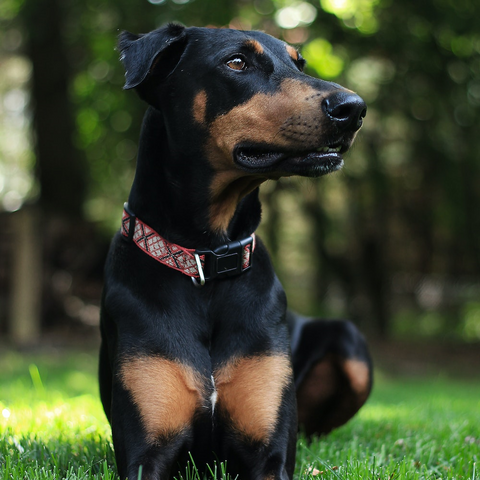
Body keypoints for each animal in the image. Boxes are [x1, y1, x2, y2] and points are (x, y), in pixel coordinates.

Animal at [99, 24, 374, 480]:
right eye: (237, 62)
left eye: (300, 63)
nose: (353, 108)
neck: (207, 258)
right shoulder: (146, 451)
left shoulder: (269, 452)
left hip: (351, 344)